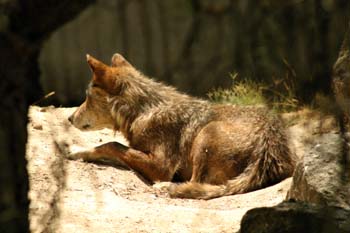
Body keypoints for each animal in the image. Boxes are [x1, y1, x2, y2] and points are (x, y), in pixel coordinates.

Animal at [67, 53, 296, 199]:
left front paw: (78, 150)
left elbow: (112, 145)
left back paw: (166, 187)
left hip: (206, 134)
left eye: (87, 97)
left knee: (196, 183)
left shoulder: (160, 167)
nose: (69, 118)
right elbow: (110, 146)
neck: (142, 112)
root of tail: (271, 142)